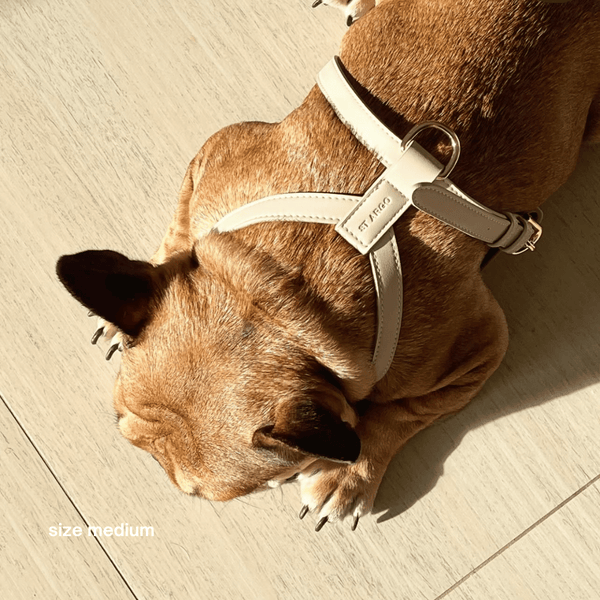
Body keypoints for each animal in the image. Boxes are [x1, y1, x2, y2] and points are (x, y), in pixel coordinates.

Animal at [57, 2, 600, 532]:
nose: (156, 467)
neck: (281, 301)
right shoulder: (214, 156)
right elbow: (178, 230)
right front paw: (138, 290)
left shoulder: (479, 347)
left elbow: (400, 412)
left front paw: (348, 476)